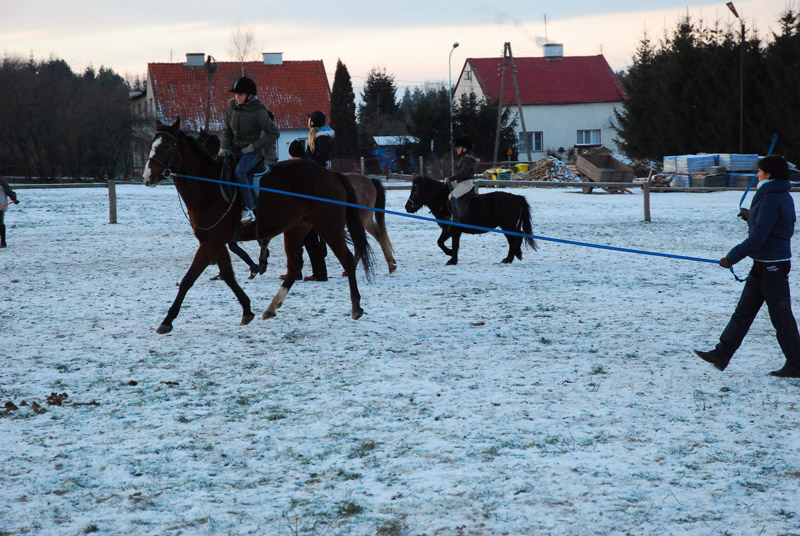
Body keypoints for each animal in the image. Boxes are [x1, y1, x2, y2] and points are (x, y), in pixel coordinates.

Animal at [143, 119, 372, 332]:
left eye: (168, 146)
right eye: (152, 144)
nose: (147, 176)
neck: (209, 188)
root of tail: (330, 174)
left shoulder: (210, 243)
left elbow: (188, 279)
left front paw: (167, 320)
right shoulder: (216, 242)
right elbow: (228, 276)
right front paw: (247, 309)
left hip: (328, 226)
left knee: (347, 259)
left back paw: (356, 306)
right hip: (297, 229)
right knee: (294, 267)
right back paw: (271, 307)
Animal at [406, 175, 536, 264]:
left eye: (415, 191)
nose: (407, 207)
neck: (443, 200)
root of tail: (515, 197)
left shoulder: (454, 230)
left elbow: (454, 244)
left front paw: (452, 260)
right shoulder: (447, 230)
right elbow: (440, 242)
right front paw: (450, 254)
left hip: (507, 225)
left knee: (515, 237)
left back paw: (510, 258)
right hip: (507, 226)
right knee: (514, 238)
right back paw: (514, 255)